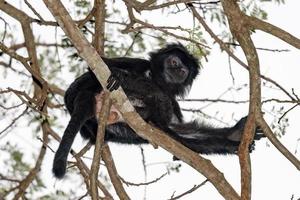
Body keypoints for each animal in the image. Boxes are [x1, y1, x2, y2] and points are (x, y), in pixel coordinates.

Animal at [52, 43, 264, 178]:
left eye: (184, 70)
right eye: (174, 62)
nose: (178, 70)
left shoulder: (173, 100)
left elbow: (178, 137)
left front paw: (235, 135)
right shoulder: (138, 63)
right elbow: (96, 65)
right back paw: (125, 80)